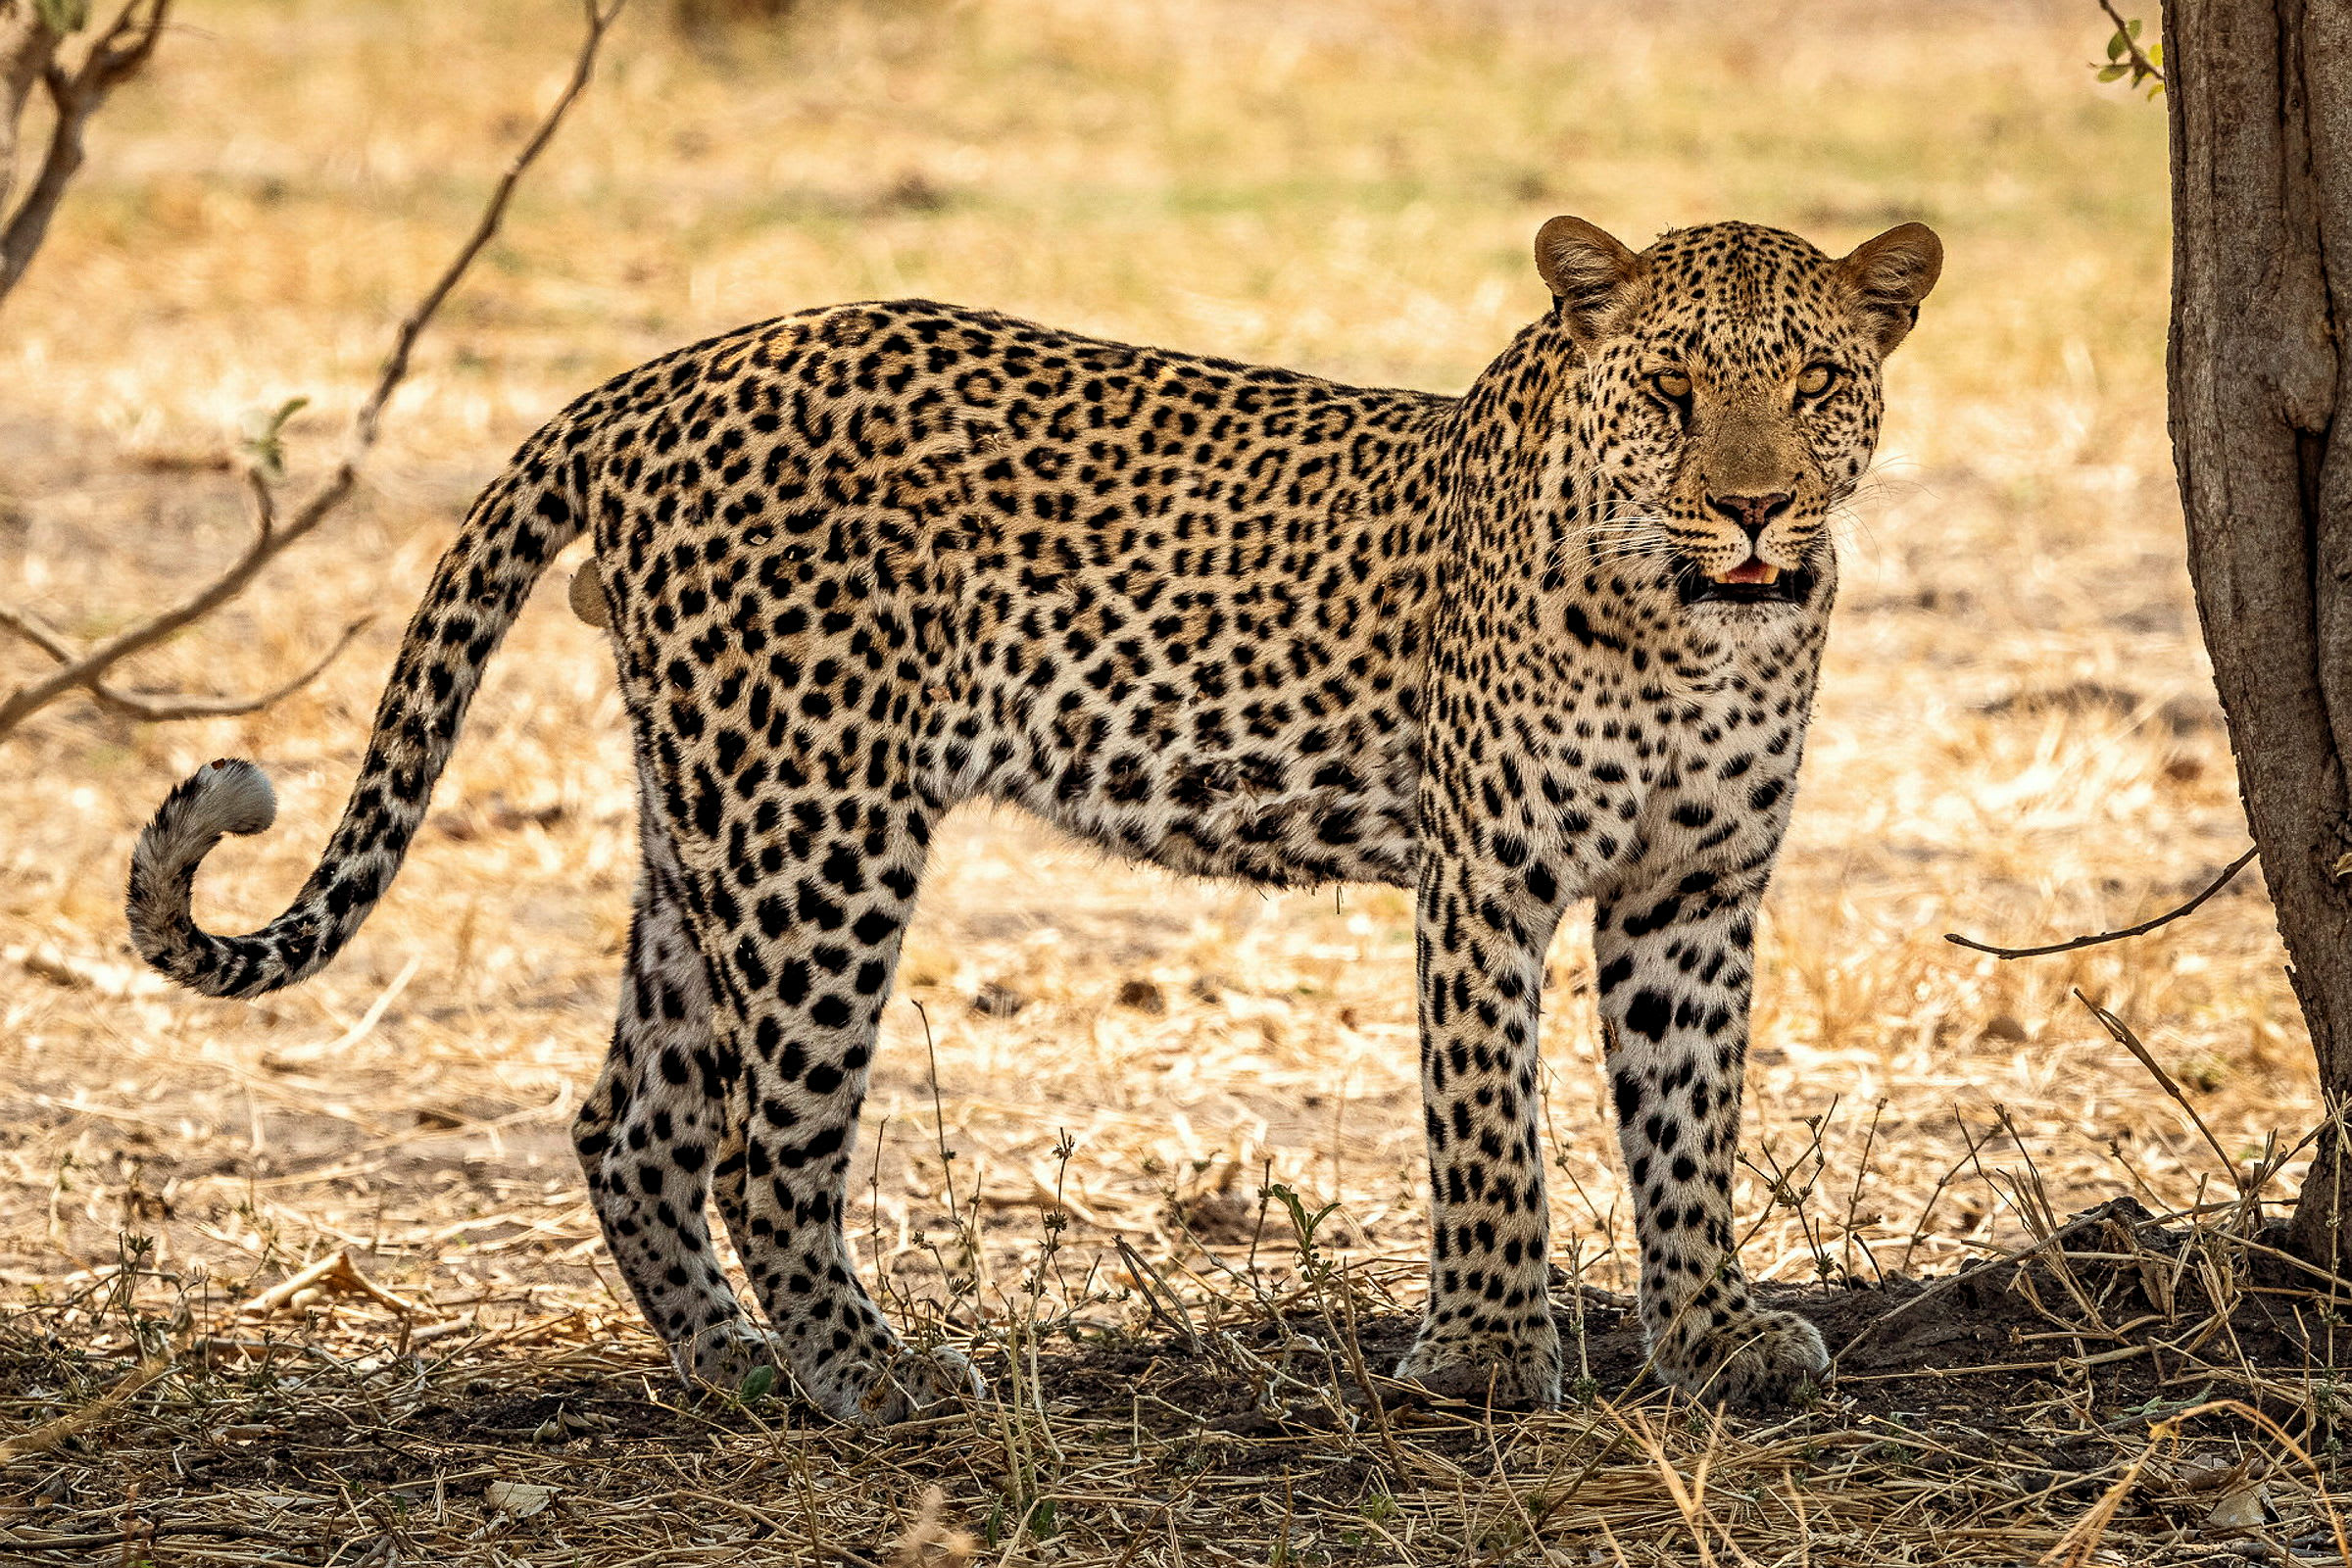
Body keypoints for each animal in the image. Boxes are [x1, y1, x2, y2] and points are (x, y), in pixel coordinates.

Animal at [127, 215, 1941, 1424]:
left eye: (1814, 382)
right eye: (1673, 387)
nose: (1756, 504)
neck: (1699, 627)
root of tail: (654, 380)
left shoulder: (1692, 892)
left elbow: (1687, 1124)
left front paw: (1711, 1336)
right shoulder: (1487, 880)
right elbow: (1489, 1125)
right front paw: (1494, 1355)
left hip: (705, 812)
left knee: (631, 1120)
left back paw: (741, 1377)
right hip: (821, 826)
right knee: (764, 1143)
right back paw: (882, 1381)